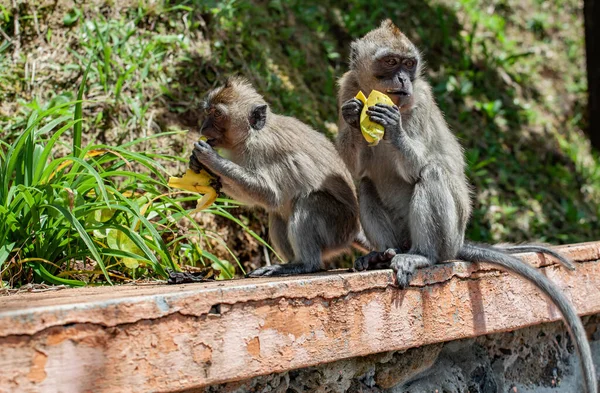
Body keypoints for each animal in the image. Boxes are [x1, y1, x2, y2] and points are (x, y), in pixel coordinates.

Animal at [190, 76, 358, 278]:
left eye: (217, 114)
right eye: (208, 111)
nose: (203, 128)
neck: (252, 134)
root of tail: (354, 228)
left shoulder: (262, 149)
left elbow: (270, 195)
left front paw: (211, 159)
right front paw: (199, 165)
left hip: (338, 228)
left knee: (309, 201)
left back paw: (304, 264)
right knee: (277, 214)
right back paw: (291, 262)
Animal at [338, 19, 596, 392]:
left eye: (409, 64)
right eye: (390, 63)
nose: (402, 80)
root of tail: (456, 240)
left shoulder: (420, 103)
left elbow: (421, 165)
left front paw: (394, 129)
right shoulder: (346, 87)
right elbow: (354, 168)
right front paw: (352, 116)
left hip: (448, 233)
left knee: (432, 173)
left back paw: (422, 256)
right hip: (404, 233)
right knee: (365, 186)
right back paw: (382, 254)